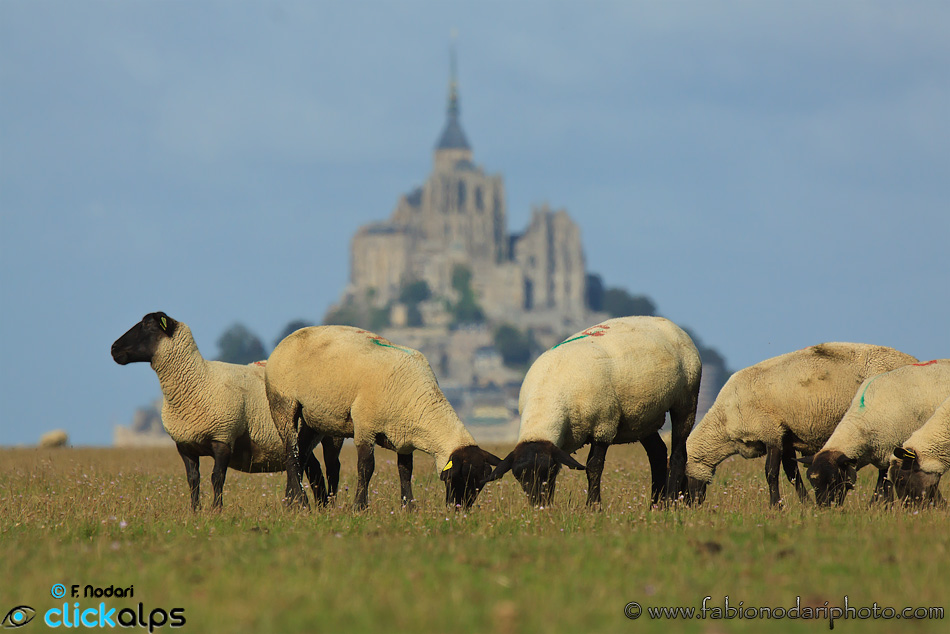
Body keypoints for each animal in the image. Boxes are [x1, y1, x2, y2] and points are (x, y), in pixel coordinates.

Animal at [111, 312, 342, 508]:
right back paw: (319, 507)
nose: (113, 349)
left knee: (332, 467)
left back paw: (328, 506)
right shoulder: (185, 445)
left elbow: (217, 478)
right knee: (313, 470)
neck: (197, 380)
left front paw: (216, 510)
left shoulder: (223, 437)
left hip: (332, 432)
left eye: (148, 325)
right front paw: (195, 511)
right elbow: (193, 480)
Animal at [264, 326, 502, 508]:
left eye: (480, 484)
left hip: (314, 418)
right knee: (291, 451)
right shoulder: (365, 426)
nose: (459, 509)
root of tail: (290, 336)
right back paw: (299, 501)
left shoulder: (404, 439)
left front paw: (409, 508)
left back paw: (292, 501)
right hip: (283, 402)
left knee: (302, 453)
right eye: (462, 476)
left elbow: (405, 471)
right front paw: (360, 507)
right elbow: (366, 468)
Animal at [488, 318, 704, 506]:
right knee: (658, 454)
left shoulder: (604, 424)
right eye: (518, 477)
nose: (538, 505)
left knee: (678, 455)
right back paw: (655, 506)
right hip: (642, 417)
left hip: (686, 399)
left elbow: (594, 467)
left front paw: (593, 506)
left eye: (550, 471)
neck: (547, 399)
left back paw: (670, 502)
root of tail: (671, 324)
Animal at [688, 340, 920, 504]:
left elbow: (771, 473)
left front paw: (776, 506)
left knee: (885, 468)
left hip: (888, 423)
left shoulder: (771, 432)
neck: (724, 423)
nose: (688, 505)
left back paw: (877, 502)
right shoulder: (786, 436)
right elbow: (792, 474)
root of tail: (914, 360)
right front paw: (806, 504)